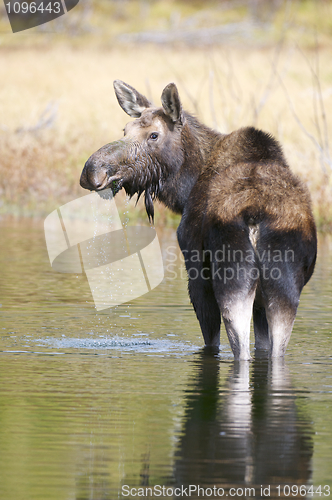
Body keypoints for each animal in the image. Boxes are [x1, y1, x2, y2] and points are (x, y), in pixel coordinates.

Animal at [80, 81, 316, 360]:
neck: (184, 190)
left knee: (239, 348)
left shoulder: (196, 274)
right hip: (284, 289)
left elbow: (211, 342)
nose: (93, 171)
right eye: (124, 130)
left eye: (154, 135)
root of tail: (255, 215)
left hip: (230, 280)